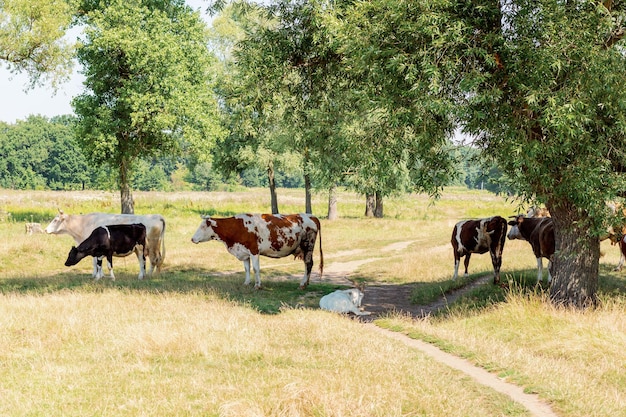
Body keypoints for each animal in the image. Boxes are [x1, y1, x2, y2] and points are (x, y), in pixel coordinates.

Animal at [190, 213, 322, 288]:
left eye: (202, 227)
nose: (192, 239)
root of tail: (312, 216)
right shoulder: (244, 252)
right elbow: (247, 269)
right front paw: (246, 283)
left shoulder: (254, 251)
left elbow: (255, 268)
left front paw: (257, 285)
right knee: (308, 264)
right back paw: (306, 282)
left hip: (308, 245)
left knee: (308, 263)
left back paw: (303, 284)